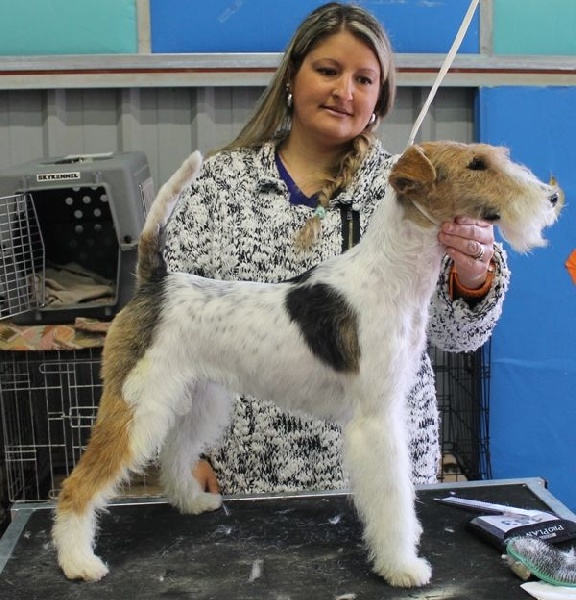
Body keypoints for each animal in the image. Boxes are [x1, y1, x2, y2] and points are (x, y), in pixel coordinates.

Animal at [51, 141, 560, 584]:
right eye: (476, 164)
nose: (553, 196)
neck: (392, 275)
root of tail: (155, 283)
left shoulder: (391, 408)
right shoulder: (376, 420)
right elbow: (391, 495)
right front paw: (402, 566)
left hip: (197, 396)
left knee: (177, 452)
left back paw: (192, 501)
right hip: (136, 403)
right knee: (79, 485)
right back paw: (78, 562)